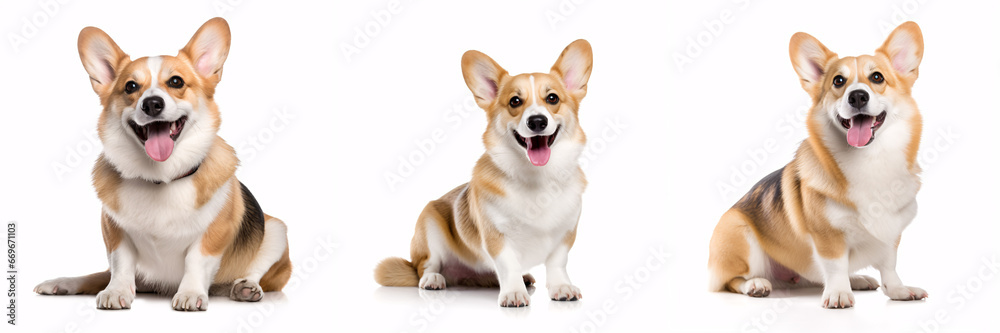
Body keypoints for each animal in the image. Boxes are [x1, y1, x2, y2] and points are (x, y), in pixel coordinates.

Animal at [33, 17, 292, 308]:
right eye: (131, 86)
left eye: (176, 82)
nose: (152, 104)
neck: (161, 177)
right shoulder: (115, 230)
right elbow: (120, 263)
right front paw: (116, 291)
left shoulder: (214, 234)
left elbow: (196, 260)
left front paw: (190, 293)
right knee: (100, 275)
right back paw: (63, 283)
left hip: (276, 231)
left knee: (257, 269)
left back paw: (245, 287)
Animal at [376, 39, 592, 306]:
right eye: (515, 102)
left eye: (552, 98)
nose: (537, 121)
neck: (535, 178)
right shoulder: (496, 237)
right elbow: (509, 265)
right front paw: (513, 293)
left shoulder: (565, 234)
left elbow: (557, 263)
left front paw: (561, 287)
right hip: (429, 226)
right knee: (425, 266)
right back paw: (434, 279)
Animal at [708, 22, 924, 308]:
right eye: (838, 81)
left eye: (877, 77)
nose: (857, 96)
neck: (870, 158)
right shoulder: (827, 236)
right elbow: (835, 265)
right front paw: (839, 294)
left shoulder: (891, 233)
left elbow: (889, 267)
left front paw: (898, 290)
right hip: (739, 232)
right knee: (733, 280)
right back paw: (755, 284)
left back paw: (857, 279)